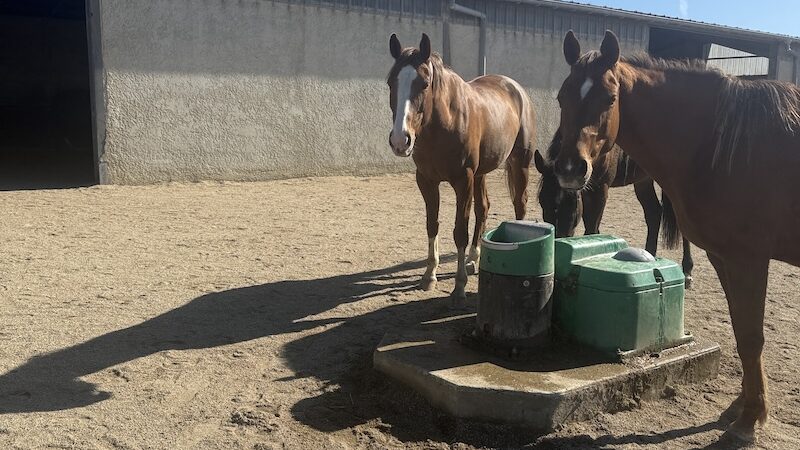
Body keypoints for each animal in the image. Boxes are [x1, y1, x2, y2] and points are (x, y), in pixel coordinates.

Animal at [386, 33, 536, 307]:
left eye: (424, 83)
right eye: (391, 82)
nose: (400, 140)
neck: (443, 124)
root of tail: (516, 89)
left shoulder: (462, 181)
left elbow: (459, 232)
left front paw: (459, 287)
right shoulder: (426, 181)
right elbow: (432, 225)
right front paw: (429, 276)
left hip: (519, 164)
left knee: (520, 204)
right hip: (481, 174)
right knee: (483, 208)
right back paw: (474, 259)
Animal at [533, 130, 694, 287]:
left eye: (573, 202)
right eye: (542, 201)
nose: (558, 240)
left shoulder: (600, 189)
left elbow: (591, 228)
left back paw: (687, 270)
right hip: (643, 180)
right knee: (653, 213)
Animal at [551, 29, 800, 442]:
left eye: (610, 99)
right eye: (561, 96)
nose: (570, 168)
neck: (721, 143)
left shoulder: (748, 258)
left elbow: (752, 336)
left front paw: (749, 420)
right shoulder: (723, 256)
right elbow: (740, 329)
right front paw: (742, 406)